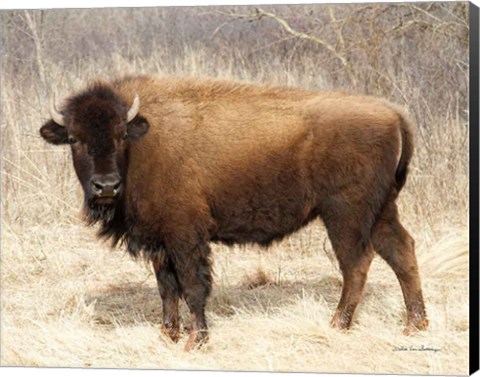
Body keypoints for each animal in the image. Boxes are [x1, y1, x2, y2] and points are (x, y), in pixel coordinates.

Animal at [38, 75, 428, 350]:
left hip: (345, 214)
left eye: (121, 135)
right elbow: (166, 288)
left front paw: (195, 341)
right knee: (402, 252)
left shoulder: (185, 236)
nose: (106, 186)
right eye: (74, 138)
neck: (143, 143)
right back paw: (415, 325)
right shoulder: (159, 242)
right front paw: (167, 336)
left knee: (357, 263)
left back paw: (339, 324)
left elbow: (192, 285)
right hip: (381, 211)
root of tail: (393, 113)